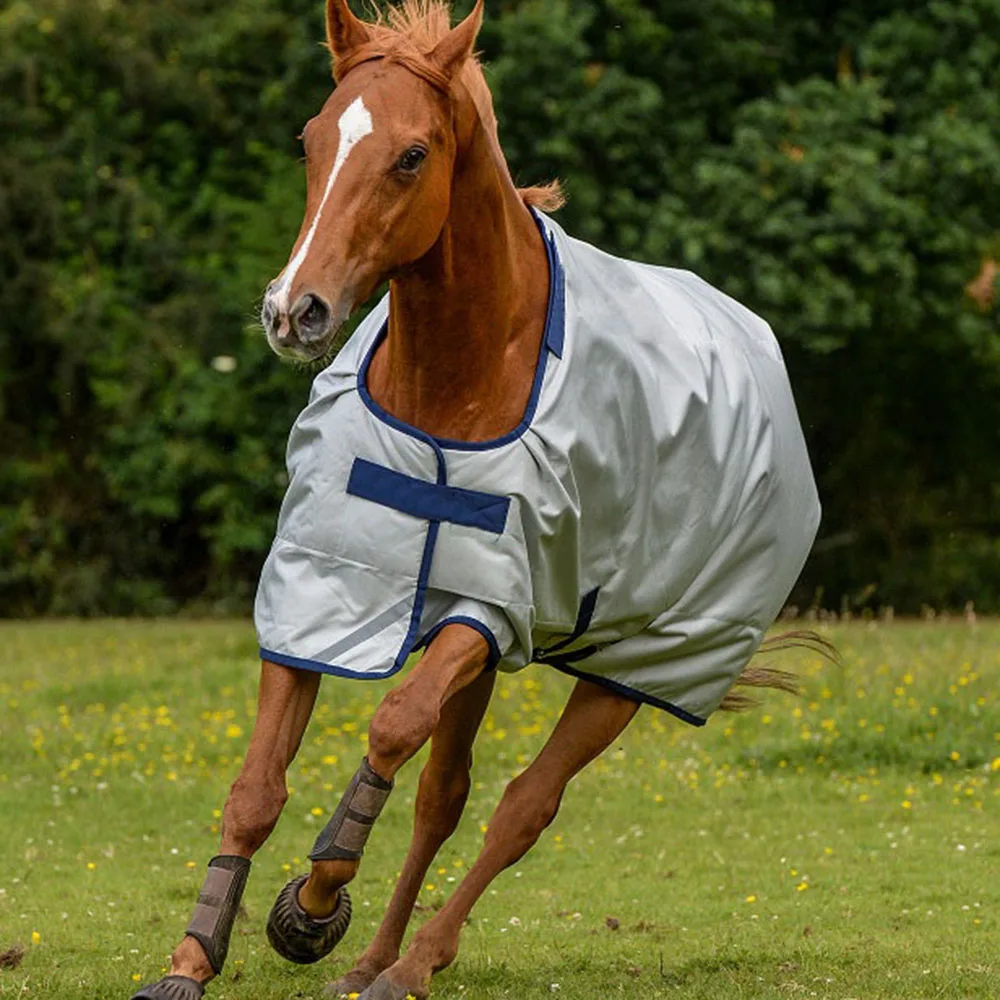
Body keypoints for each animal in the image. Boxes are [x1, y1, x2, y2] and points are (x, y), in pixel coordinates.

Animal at [131, 2, 824, 998]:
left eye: (412, 155)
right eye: (310, 139)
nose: (294, 311)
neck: (448, 393)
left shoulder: (490, 609)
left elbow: (390, 726)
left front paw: (315, 898)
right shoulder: (315, 590)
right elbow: (260, 787)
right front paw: (195, 955)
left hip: (631, 667)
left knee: (522, 808)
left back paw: (412, 962)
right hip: (487, 662)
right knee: (444, 798)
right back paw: (374, 961)